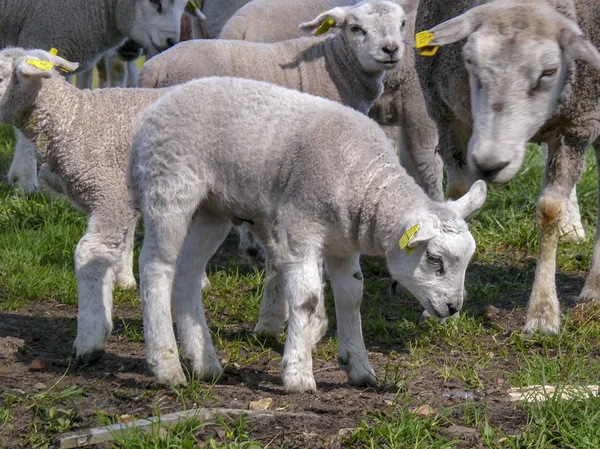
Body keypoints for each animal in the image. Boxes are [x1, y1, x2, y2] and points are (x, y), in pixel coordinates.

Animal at [127, 75, 488, 390]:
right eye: (434, 259)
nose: (453, 308)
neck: (363, 182)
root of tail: (153, 109)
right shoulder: (300, 231)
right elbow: (308, 298)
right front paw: (298, 375)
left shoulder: (343, 244)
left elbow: (352, 296)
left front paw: (359, 367)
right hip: (170, 186)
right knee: (156, 266)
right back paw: (167, 365)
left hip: (212, 209)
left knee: (187, 273)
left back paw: (205, 364)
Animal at [412, 0, 600, 332]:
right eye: (469, 61)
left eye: (549, 71)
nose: (490, 164)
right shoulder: (449, 116)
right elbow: (458, 195)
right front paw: (445, 308)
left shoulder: (576, 126)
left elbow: (549, 210)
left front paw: (542, 312)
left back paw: (594, 286)